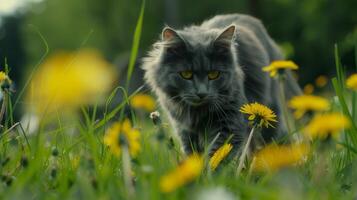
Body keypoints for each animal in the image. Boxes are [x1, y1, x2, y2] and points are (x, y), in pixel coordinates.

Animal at [142, 13, 300, 155]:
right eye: (186, 74)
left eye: (214, 74)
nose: (201, 93)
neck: (197, 113)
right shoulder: (185, 130)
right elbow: (193, 156)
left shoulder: (229, 124)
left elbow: (218, 156)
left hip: (268, 113)